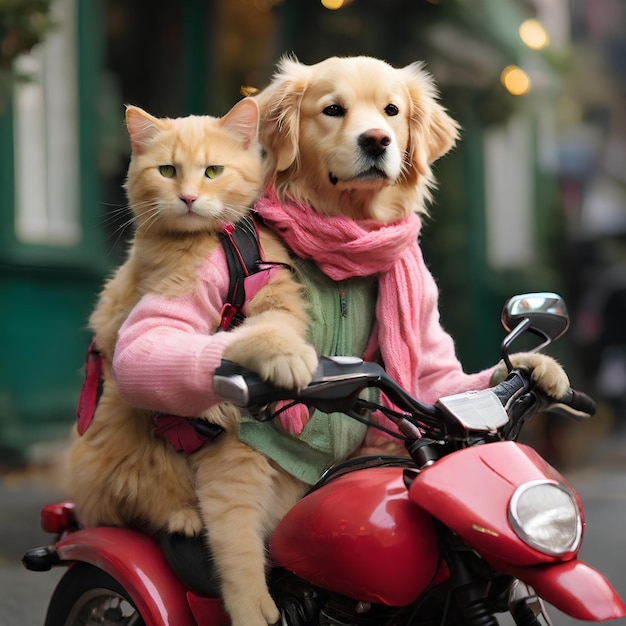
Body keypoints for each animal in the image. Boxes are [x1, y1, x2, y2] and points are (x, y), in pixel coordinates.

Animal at [65, 97, 314, 624]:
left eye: (212, 171)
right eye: (167, 171)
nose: (187, 197)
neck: (207, 243)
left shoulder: (277, 295)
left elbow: (274, 326)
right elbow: (243, 339)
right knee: (134, 506)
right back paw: (181, 515)